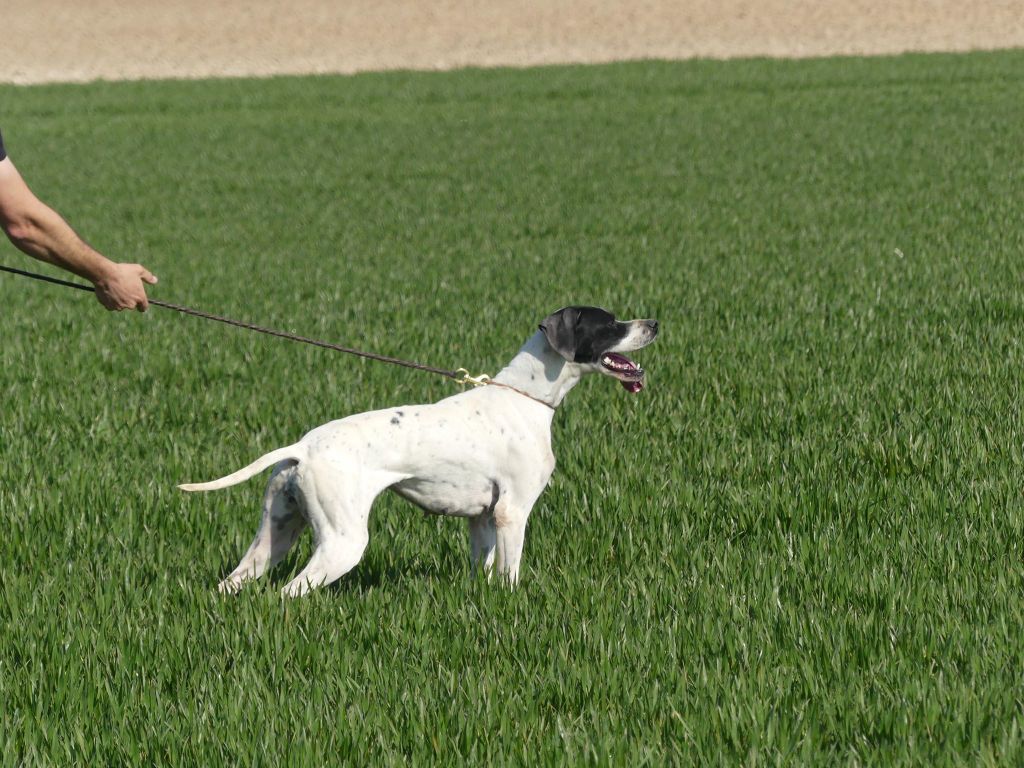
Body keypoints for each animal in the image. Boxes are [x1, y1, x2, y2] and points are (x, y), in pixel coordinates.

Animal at [180, 305, 659, 593]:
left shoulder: (482, 520)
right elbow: (510, 574)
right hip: (342, 542)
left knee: (234, 582)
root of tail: (303, 447)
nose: (654, 324)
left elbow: (483, 569)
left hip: (274, 536)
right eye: (610, 323)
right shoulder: (513, 512)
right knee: (291, 591)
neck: (526, 397)